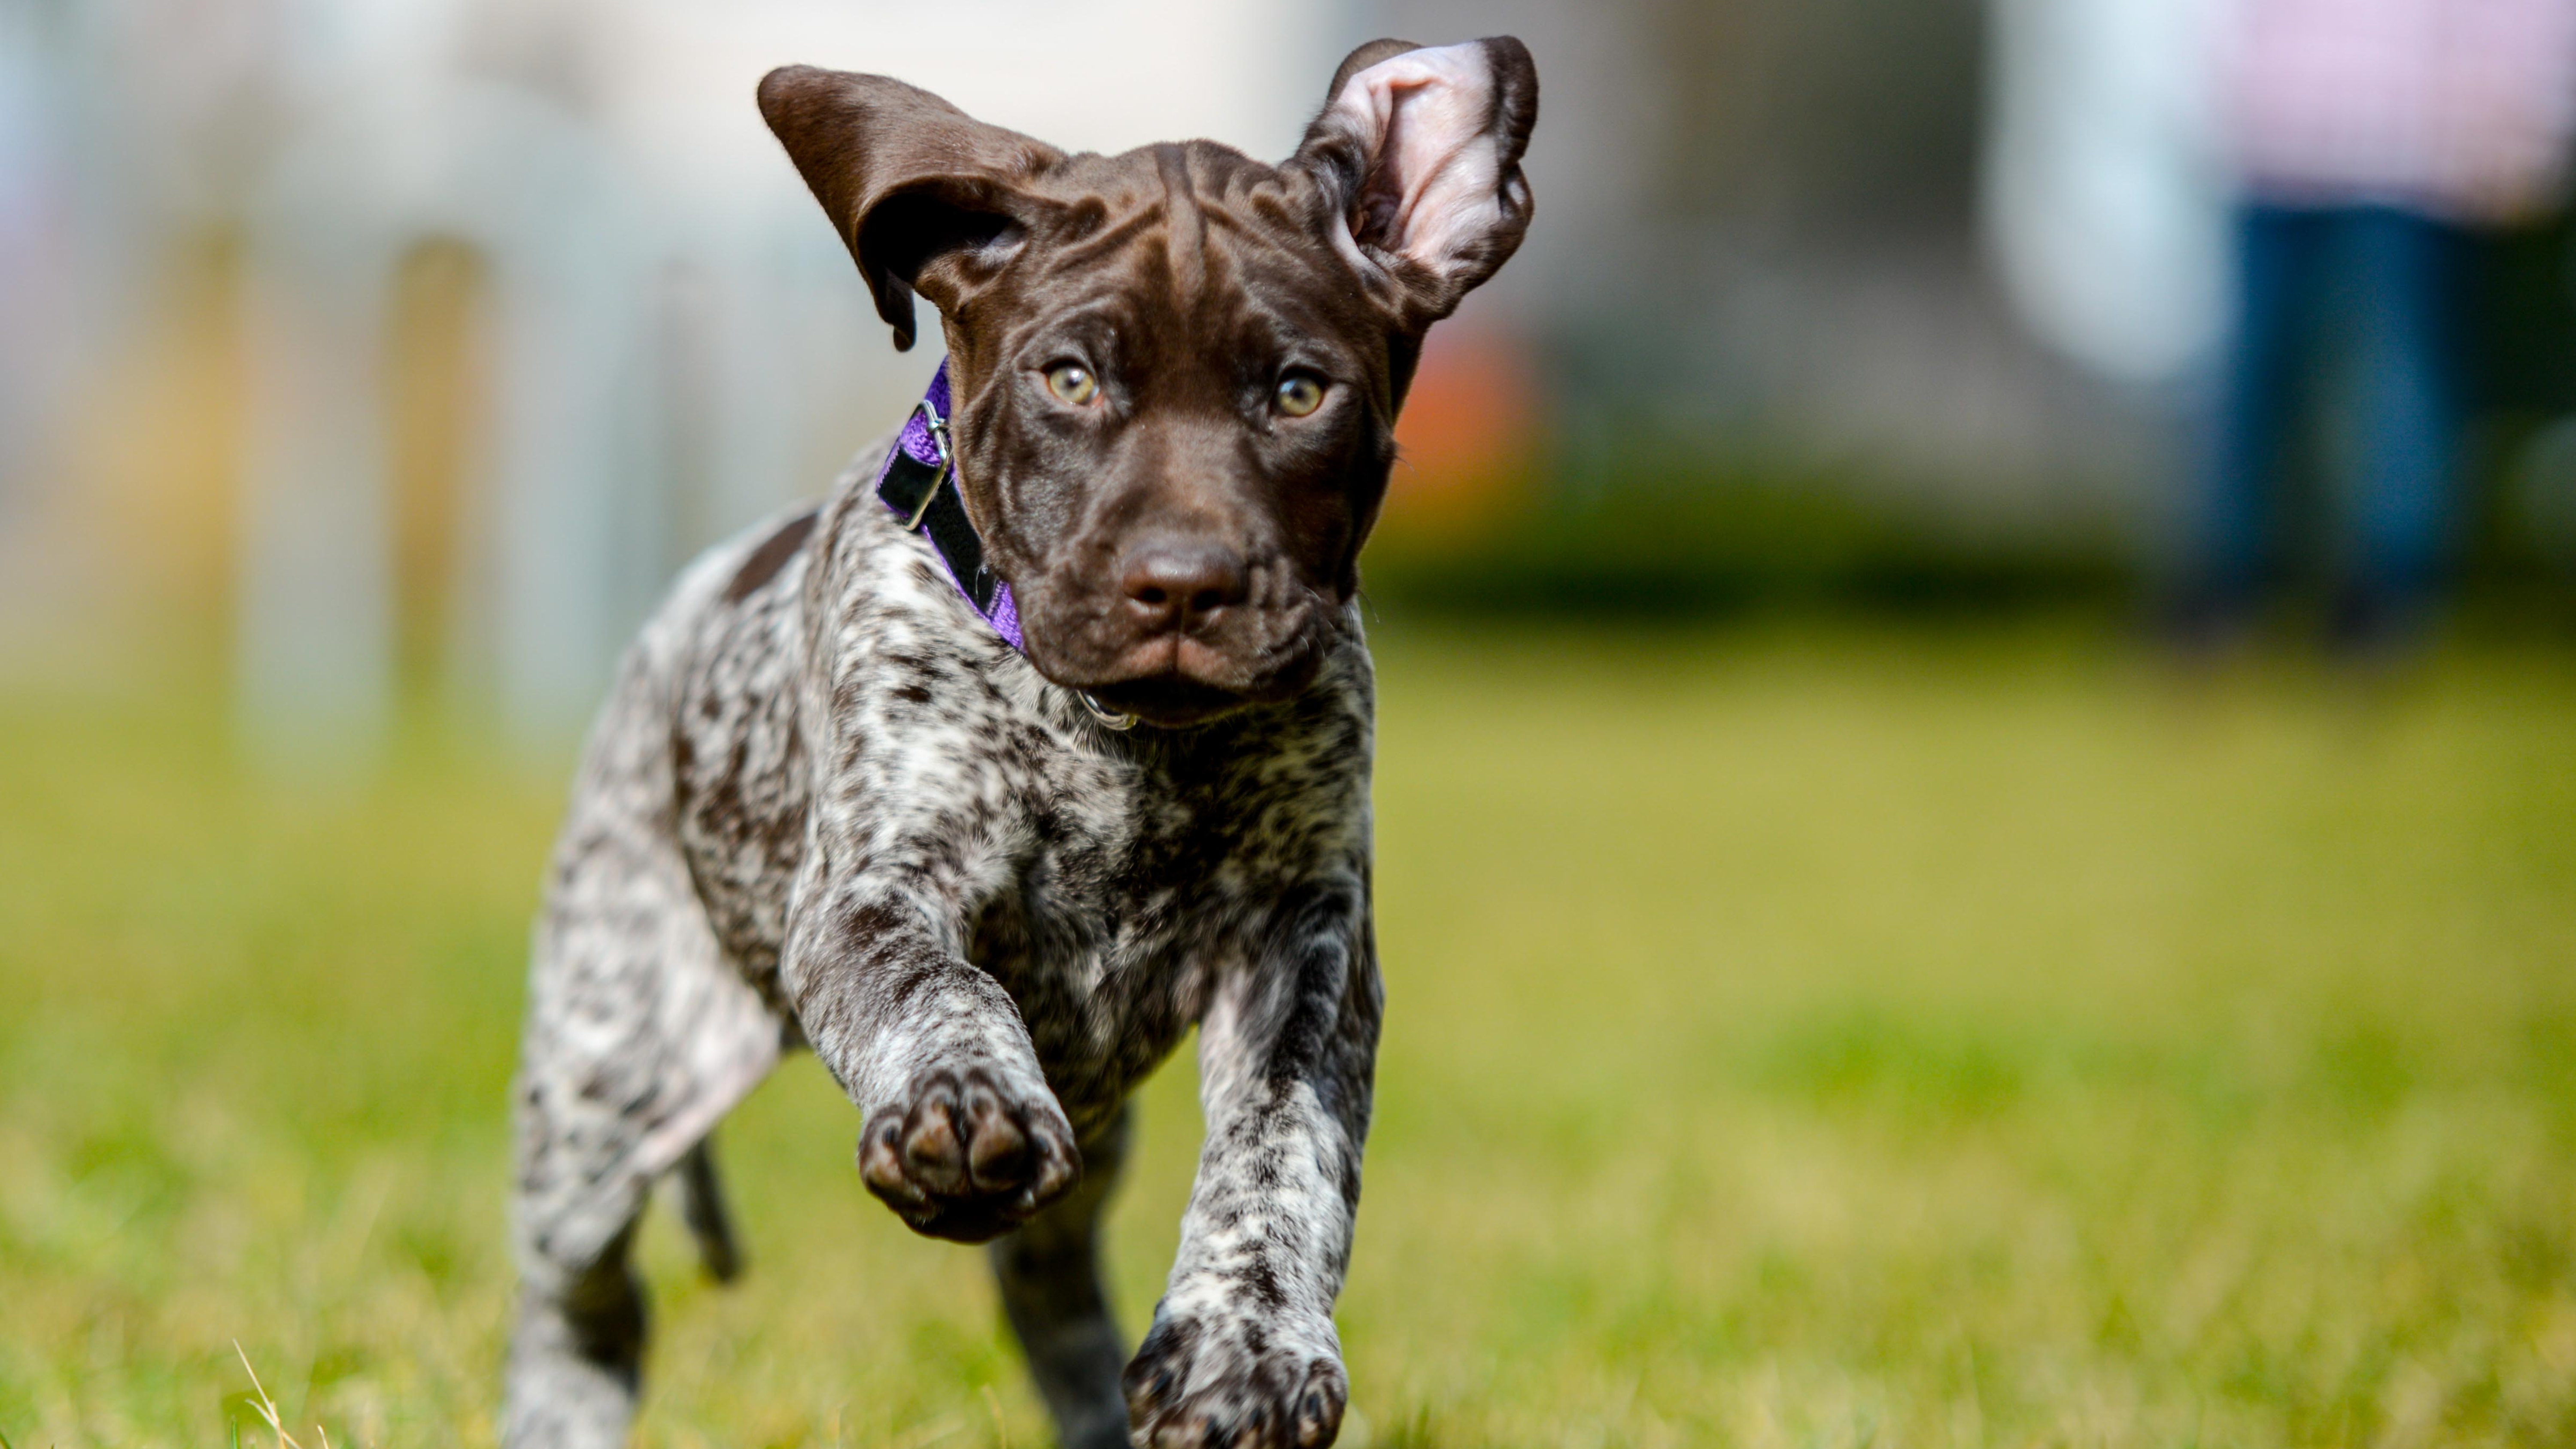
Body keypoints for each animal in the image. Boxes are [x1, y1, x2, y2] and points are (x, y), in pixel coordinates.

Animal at [507, 36, 1525, 1443]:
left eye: (1298, 392)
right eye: (1071, 380)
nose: (1183, 587)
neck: (1123, 739)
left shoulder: (1306, 942)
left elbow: (1284, 1149)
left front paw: (1247, 1344)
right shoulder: (873, 891)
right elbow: (944, 989)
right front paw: (957, 1106)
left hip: (1090, 1137)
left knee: (1048, 1290)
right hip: (603, 1088)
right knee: (586, 1304)